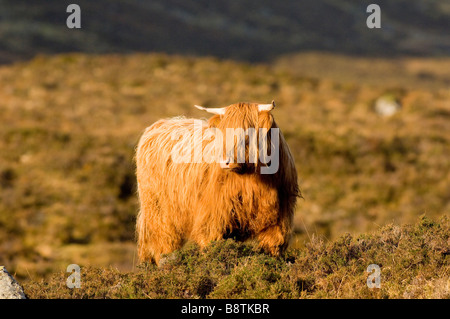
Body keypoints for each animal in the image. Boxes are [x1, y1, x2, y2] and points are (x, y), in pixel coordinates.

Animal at [135, 101, 300, 264]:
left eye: (247, 134)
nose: (226, 161)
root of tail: (159, 124)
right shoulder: (212, 221)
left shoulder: (278, 221)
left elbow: (272, 250)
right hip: (158, 210)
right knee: (164, 243)